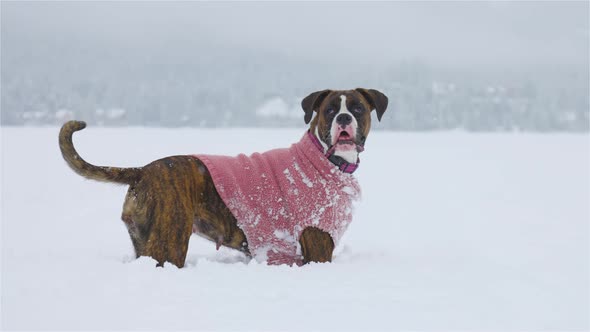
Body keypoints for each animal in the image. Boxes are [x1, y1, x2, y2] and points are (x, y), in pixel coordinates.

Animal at [60, 88, 388, 268]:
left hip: (145, 239)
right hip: (169, 243)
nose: (343, 118)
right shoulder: (318, 247)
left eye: (357, 108)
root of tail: (142, 171)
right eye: (329, 110)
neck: (322, 159)